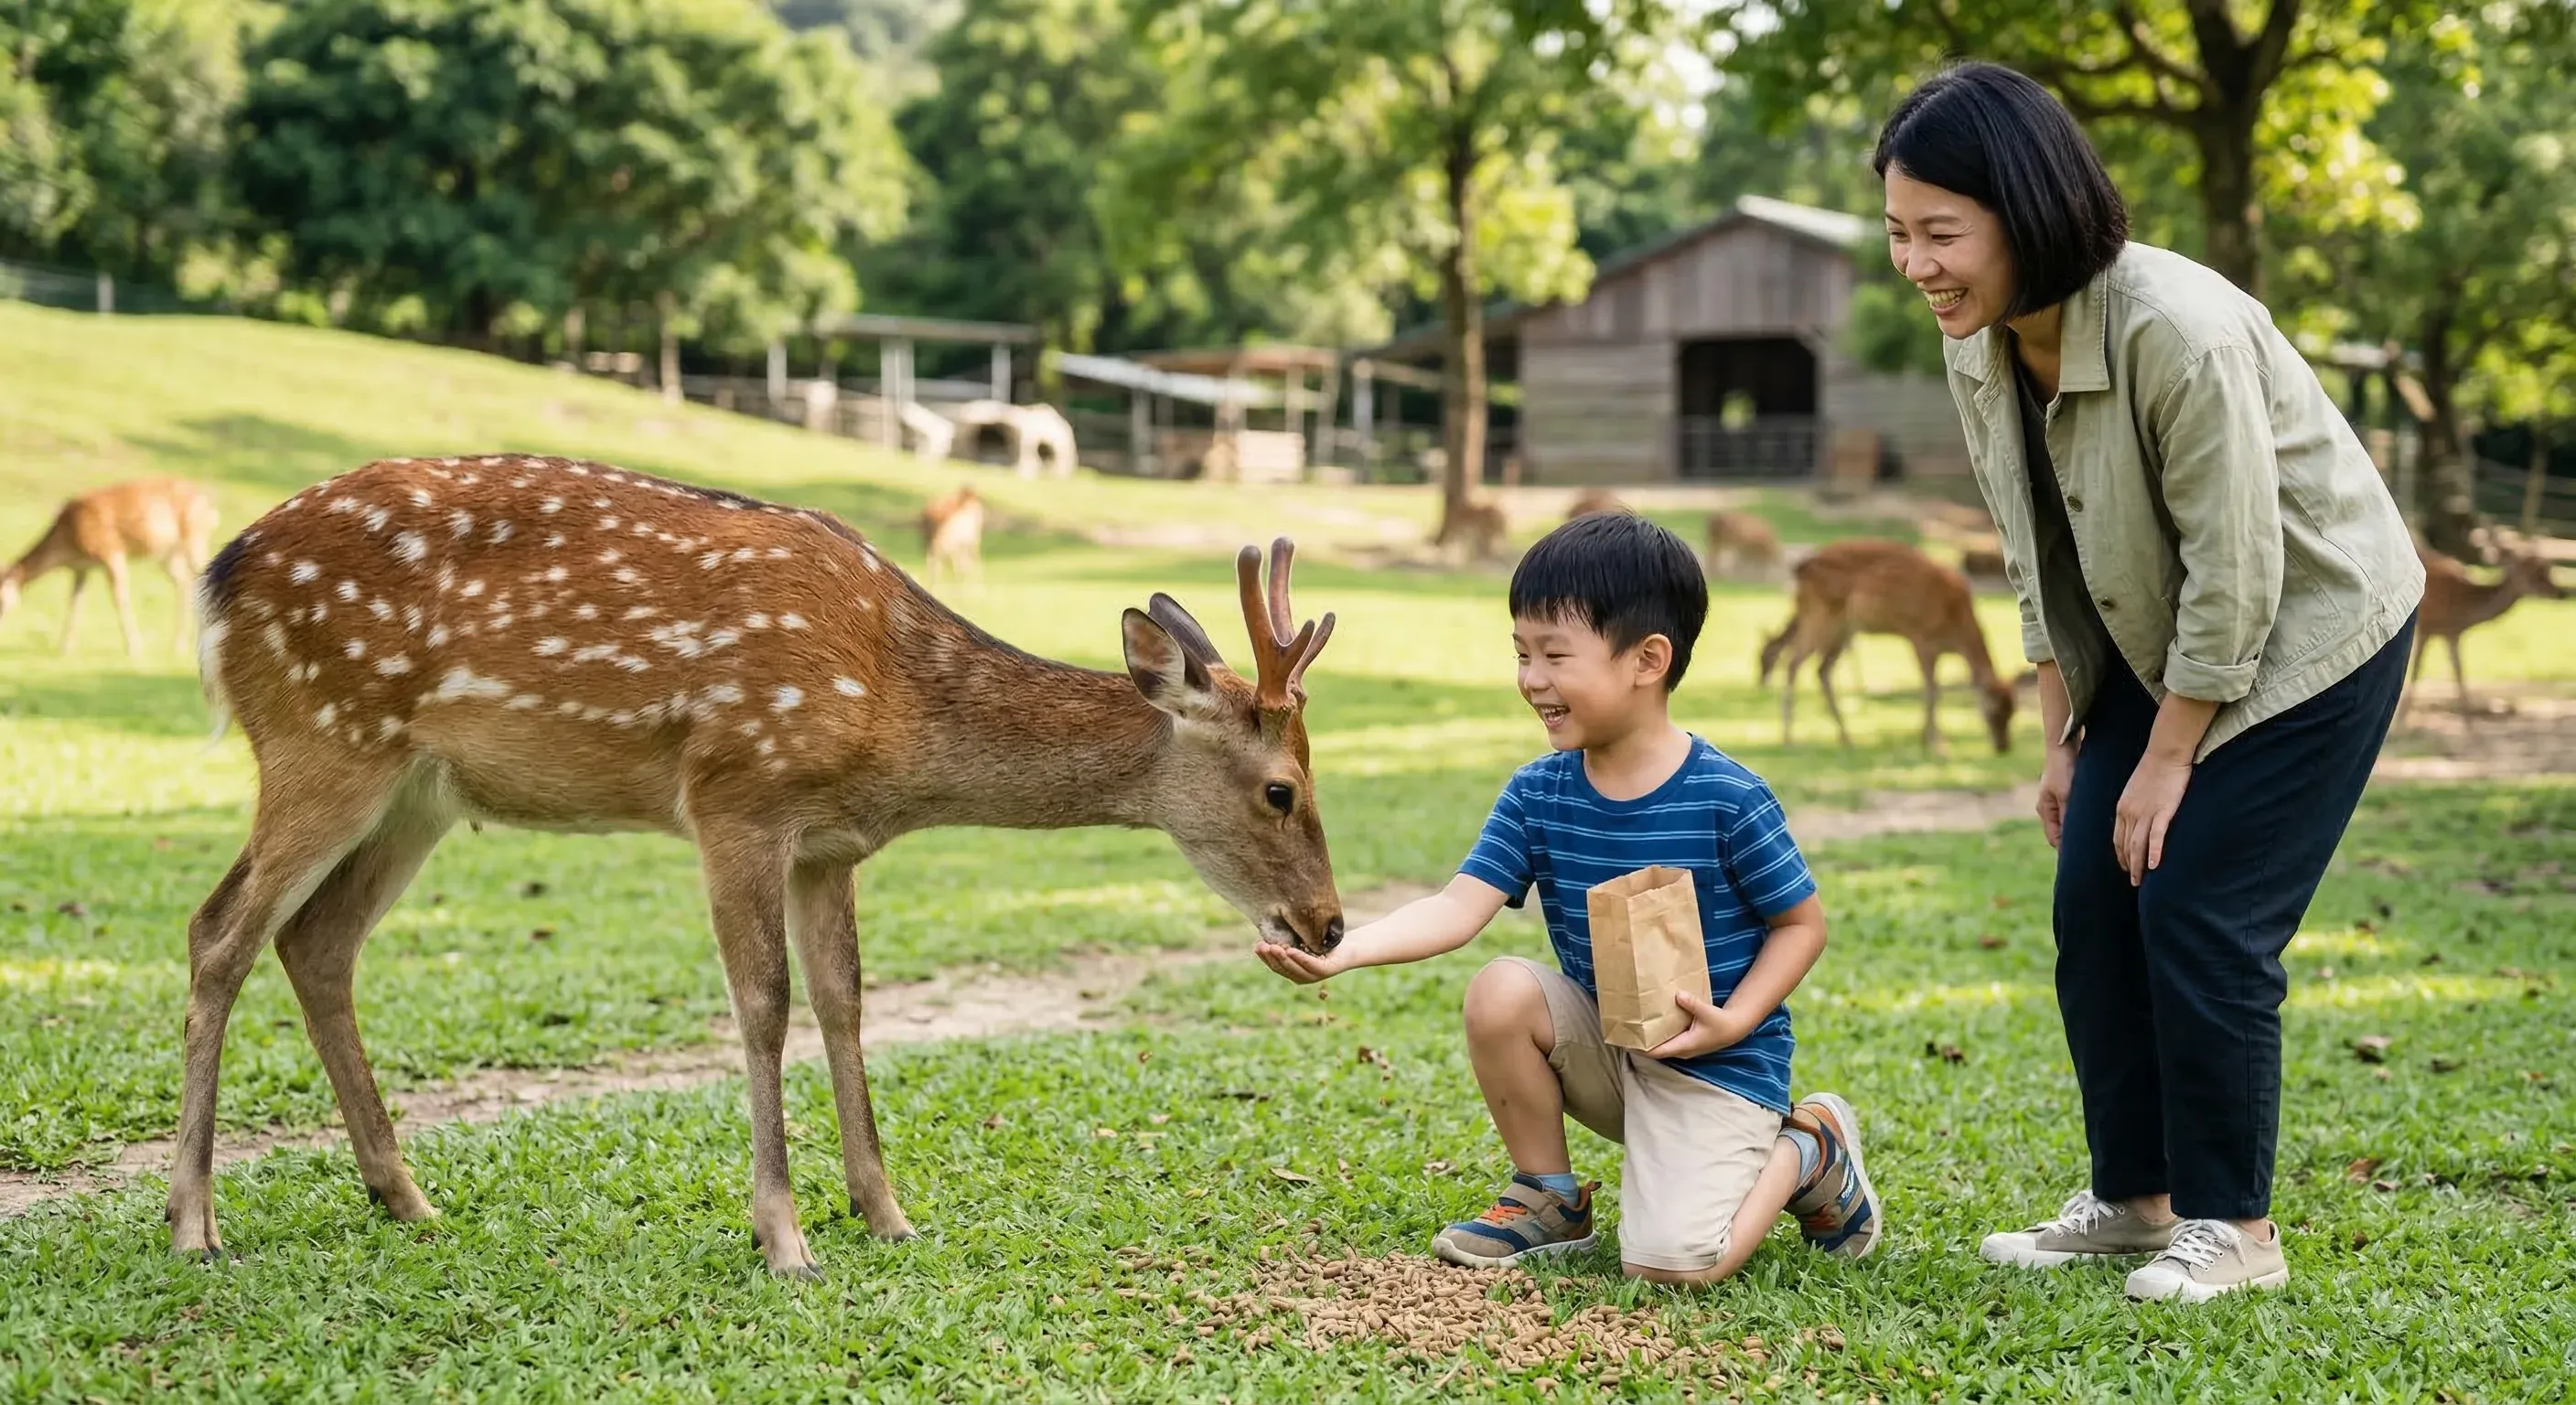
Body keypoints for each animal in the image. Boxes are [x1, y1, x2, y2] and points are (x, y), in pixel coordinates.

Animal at [1, 476, 220, 657]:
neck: (66, 544)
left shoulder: (110, 551)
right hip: (167, 554)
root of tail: (209, 507)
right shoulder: (81, 567)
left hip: (194, 537)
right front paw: (65, 648)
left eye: (1, 601)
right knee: (184, 581)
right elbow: (75, 602)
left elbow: (119, 599)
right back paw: (177, 646)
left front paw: (134, 648)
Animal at [177, 453, 1343, 1277]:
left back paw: (404, 1195)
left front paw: (886, 1214)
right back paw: (196, 1222)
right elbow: (763, 1002)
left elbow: (843, 1000)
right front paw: (784, 1239)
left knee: (315, 940)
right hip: (322, 739)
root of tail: (216, 580)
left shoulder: (829, 845)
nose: (1326, 923)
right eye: (1281, 788)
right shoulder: (736, 795)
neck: (891, 720)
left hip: (416, 791)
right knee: (219, 930)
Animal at [1759, 538, 2014, 755]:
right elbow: (1932, 690)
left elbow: (1932, 690)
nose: (2003, 747)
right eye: (1994, 712)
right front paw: (1935, 744)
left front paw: (1930, 740)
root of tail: (1802, 568)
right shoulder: (1920, 637)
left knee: (1821, 670)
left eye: (2013, 710)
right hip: (1822, 617)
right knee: (1793, 663)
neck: (1957, 628)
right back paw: (1789, 739)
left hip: (1842, 627)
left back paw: (1847, 739)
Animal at [2408, 545, 2565, 718]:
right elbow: (2416, 672)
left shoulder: (2452, 634)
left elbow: (2460, 674)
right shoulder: (2426, 627)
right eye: (2532, 571)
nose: (2559, 593)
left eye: (2547, 569)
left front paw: (2469, 722)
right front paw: (2402, 722)